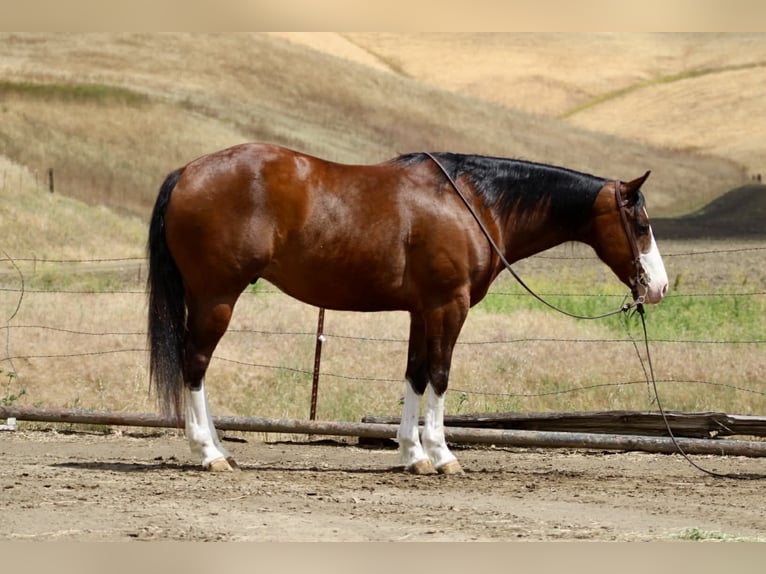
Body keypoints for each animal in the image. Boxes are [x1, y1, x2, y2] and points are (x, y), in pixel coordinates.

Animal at [147, 143, 668, 474]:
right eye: (641, 224)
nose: (659, 287)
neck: (473, 202)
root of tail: (185, 173)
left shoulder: (423, 310)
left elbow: (415, 375)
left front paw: (413, 456)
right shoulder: (449, 305)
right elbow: (439, 373)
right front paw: (442, 455)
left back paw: (220, 448)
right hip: (217, 297)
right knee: (195, 365)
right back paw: (209, 453)